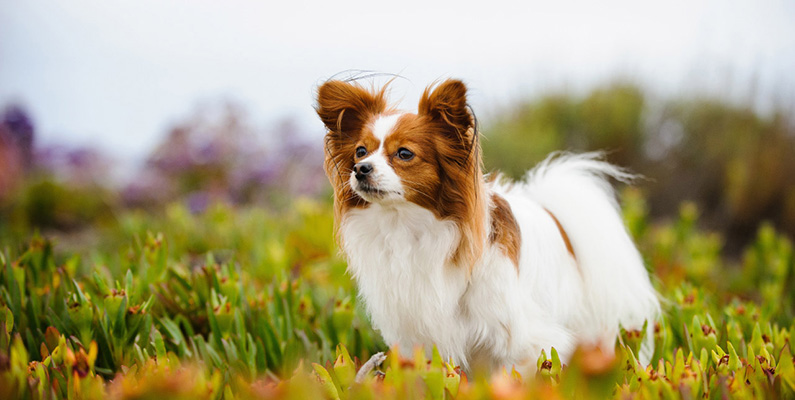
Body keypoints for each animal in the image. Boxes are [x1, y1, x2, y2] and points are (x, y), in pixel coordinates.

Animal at [316, 79, 660, 376]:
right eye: (360, 152)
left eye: (404, 154)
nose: (360, 169)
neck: (410, 227)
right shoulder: (421, 335)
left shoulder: (521, 337)